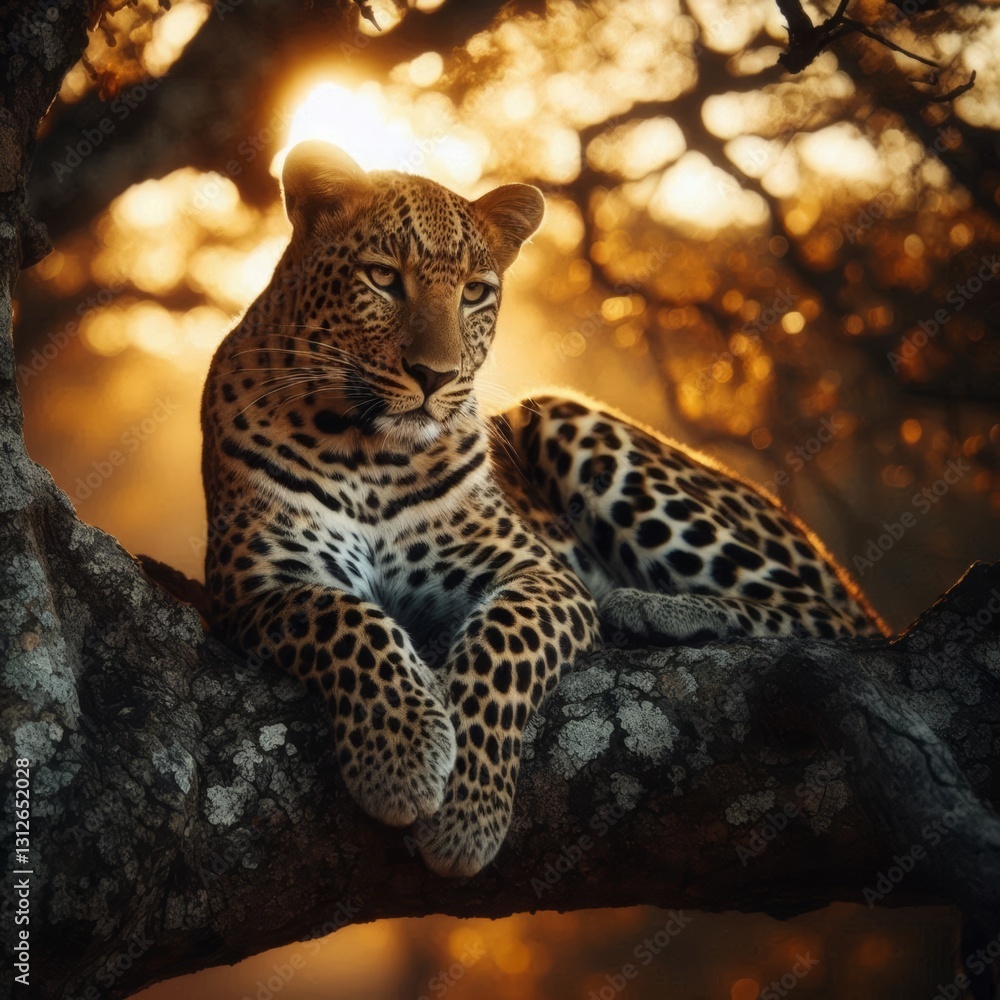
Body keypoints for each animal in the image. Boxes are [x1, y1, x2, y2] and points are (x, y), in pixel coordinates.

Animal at [201, 140, 886, 879]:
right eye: (383, 278)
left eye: (475, 292)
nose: (436, 377)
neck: (365, 450)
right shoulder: (258, 584)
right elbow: (349, 621)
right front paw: (403, 756)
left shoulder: (538, 573)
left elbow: (500, 649)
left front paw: (462, 814)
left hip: (561, 415)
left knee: (840, 620)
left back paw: (655, 607)